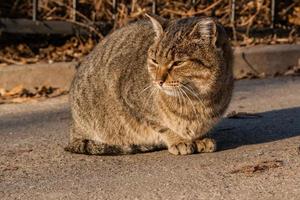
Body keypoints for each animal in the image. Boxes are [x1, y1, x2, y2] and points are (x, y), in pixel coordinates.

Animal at [65, 15, 234, 156]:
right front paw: (179, 140)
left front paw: (199, 139)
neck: (198, 98)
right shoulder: (130, 100)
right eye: (154, 61)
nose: (159, 81)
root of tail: (74, 129)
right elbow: (162, 125)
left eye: (178, 63)